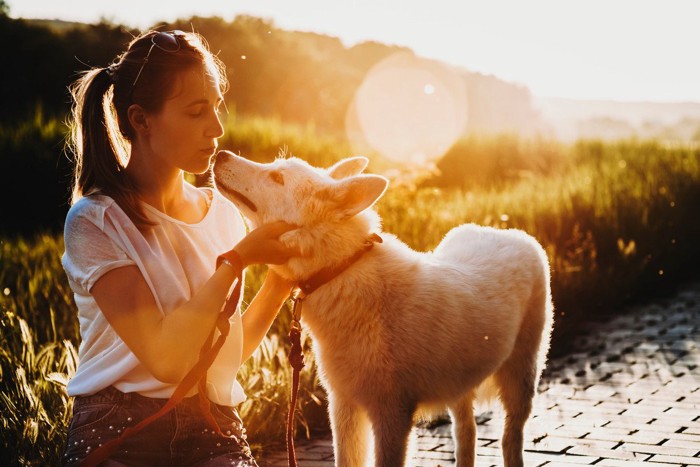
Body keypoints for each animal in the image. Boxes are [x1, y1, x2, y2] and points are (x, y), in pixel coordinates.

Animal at [213, 152, 552, 466]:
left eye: (277, 177)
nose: (221, 155)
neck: (340, 271)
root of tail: (508, 232)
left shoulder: (391, 414)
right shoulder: (343, 406)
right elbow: (346, 459)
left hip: (520, 382)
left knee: (510, 440)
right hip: (461, 383)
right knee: (467, 432)